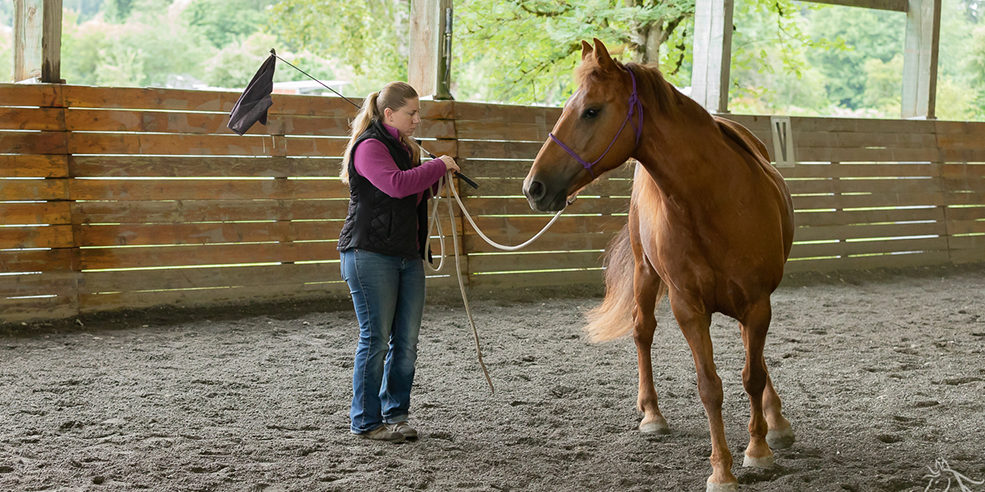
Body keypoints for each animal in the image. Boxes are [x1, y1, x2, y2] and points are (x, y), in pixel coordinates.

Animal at [528, 39, 796, 492]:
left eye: (591, 110)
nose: (534, 187)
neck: (710, 199)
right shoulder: (689, 309)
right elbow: (710, 387)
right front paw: (722, 470)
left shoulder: (758, 303)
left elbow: (752, 375)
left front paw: (759, 450)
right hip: (645, 273)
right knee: (642, 331)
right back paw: (652, 413)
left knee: (751, 355)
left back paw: (775, 420)